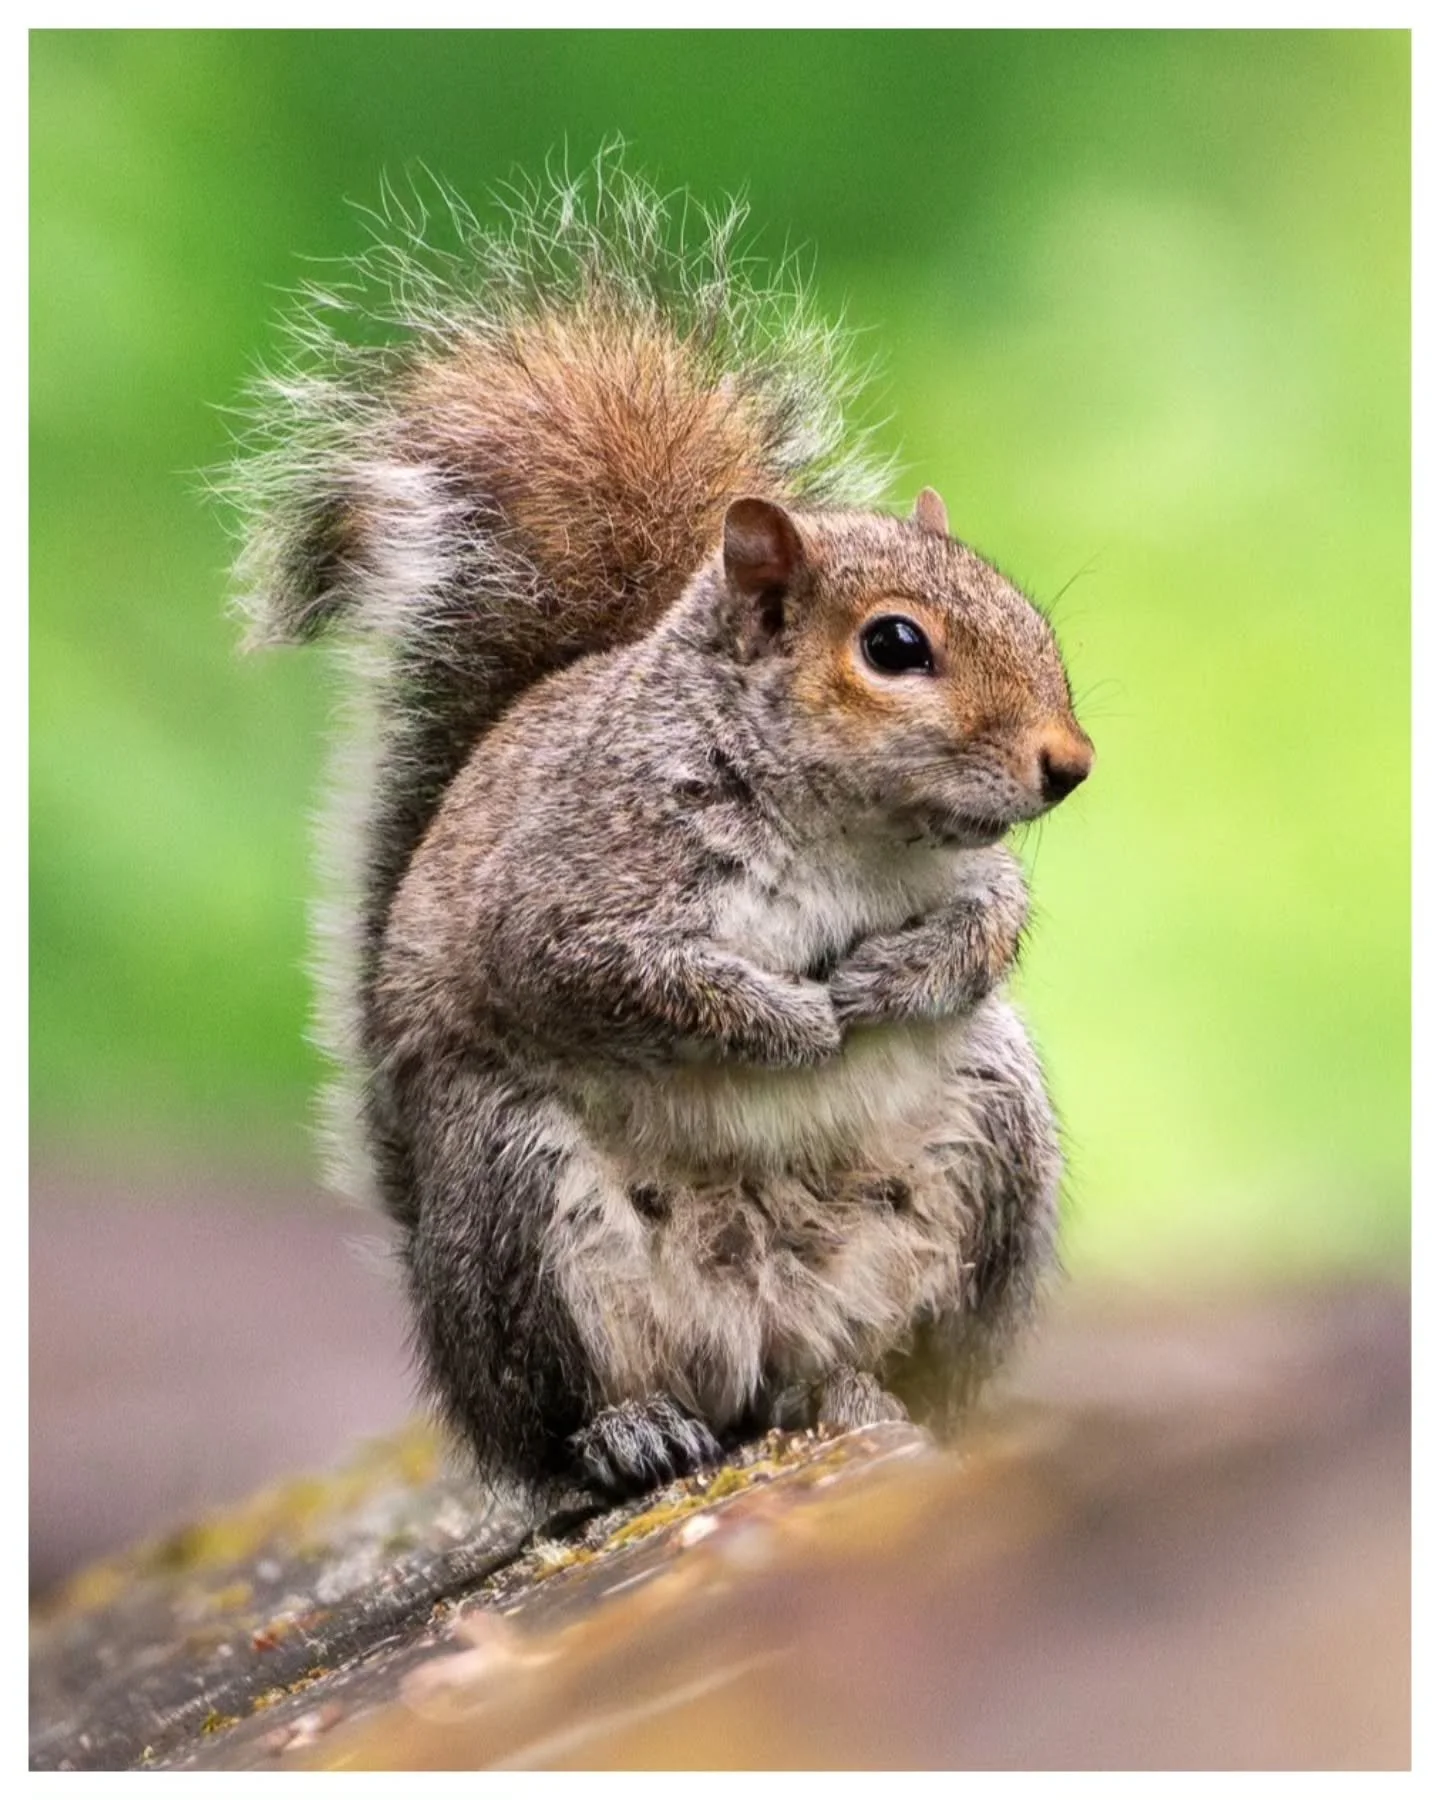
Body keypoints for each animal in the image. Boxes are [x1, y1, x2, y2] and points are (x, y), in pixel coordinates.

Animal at [227, 158, 1094, 1507]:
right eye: (896, 645)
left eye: (1029, 615)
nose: (1070, 763)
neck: (846, 832)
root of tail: (762, 1344)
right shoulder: (577, 886)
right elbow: (613, 974)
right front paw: (790, 1021)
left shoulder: (971, 871)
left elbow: (991, 925)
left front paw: (891, 980)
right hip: (517, 1194)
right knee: (567, 1420)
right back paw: (629, 1433)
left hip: (996, 1147)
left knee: (894, 1359)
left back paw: (863, 1388)